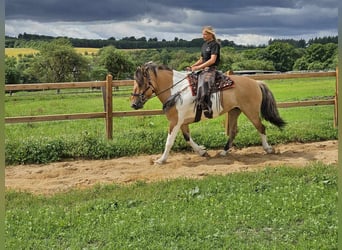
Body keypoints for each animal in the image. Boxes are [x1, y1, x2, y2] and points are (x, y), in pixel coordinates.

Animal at [131, 62, 286, 164]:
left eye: (141, 83)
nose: (133, 104)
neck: (177, 90)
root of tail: (256, 83)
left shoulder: (175, 121)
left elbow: (169, 141)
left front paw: (161, 160)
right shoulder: (181, 121)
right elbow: (187, 138)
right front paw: (202, 151)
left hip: (251, 111)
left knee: (261, 127)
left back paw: (268, 149)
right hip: (235, 111)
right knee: (233, 131)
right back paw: (223, 151)